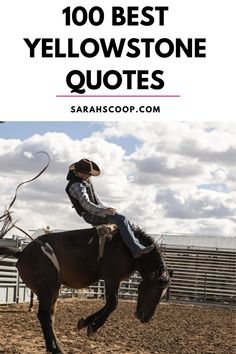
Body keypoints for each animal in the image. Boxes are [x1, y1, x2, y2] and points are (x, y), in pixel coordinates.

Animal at [0, 227, 173, 354]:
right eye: (156, 288)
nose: (145, 318)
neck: (130, 248)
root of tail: (22, 253)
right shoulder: (111, 277)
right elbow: (113, 303)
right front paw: (92, 326)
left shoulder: (112, 280)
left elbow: (109, 304)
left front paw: (84, 322)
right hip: (46, 288)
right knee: (44, 315)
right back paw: (56, 349)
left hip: (54, 288)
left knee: (49, 315)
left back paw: (55, 347)